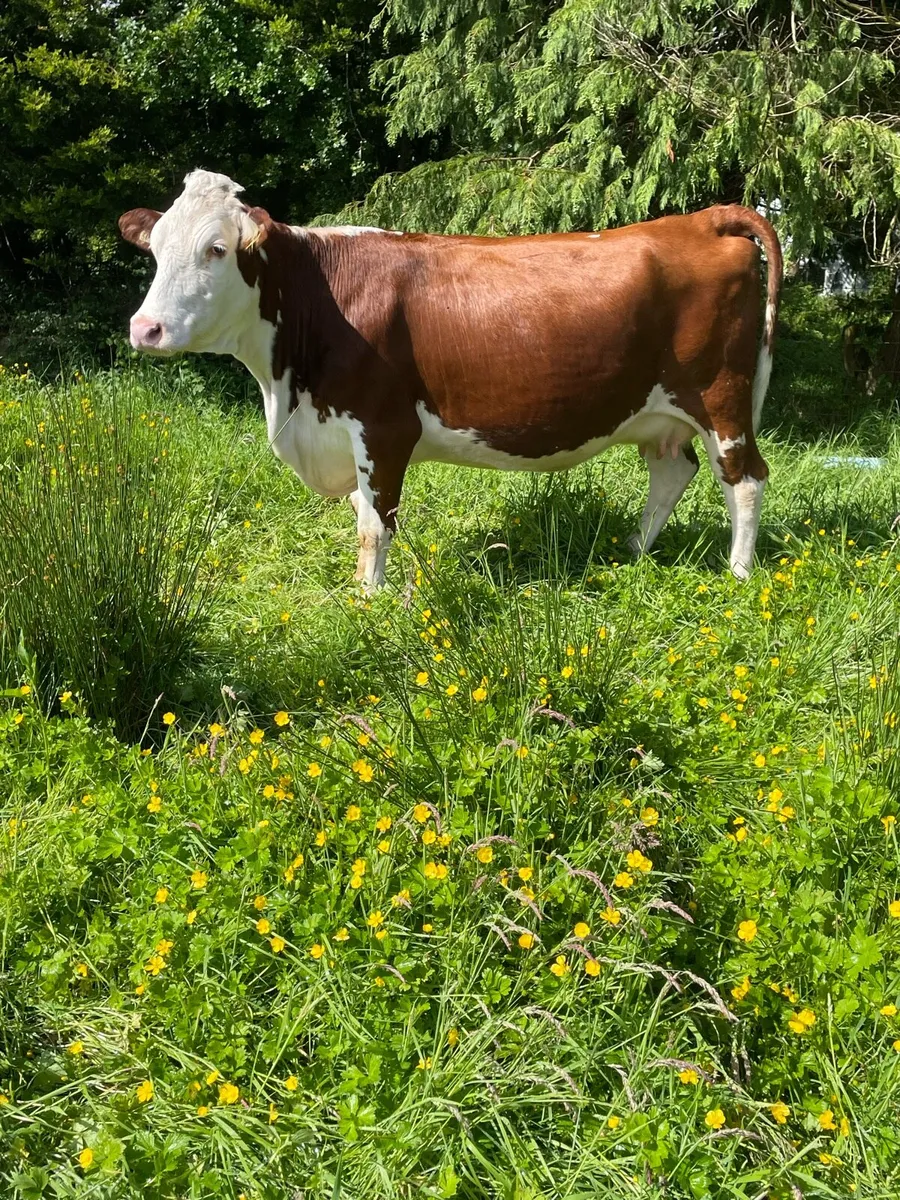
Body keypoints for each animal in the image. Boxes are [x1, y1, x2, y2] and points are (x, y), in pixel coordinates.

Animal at [120, 170, 782, 589]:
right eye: (155, 247)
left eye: (216, 248)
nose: (145, 328)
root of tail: (702, 220)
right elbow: (364, 514)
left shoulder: (384, 427)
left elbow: (373, 524)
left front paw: (370, 599)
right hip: (659, 411)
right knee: (673, 470)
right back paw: (633, 553)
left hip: (720, 396)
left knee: (744, 478)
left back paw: (738, 575)